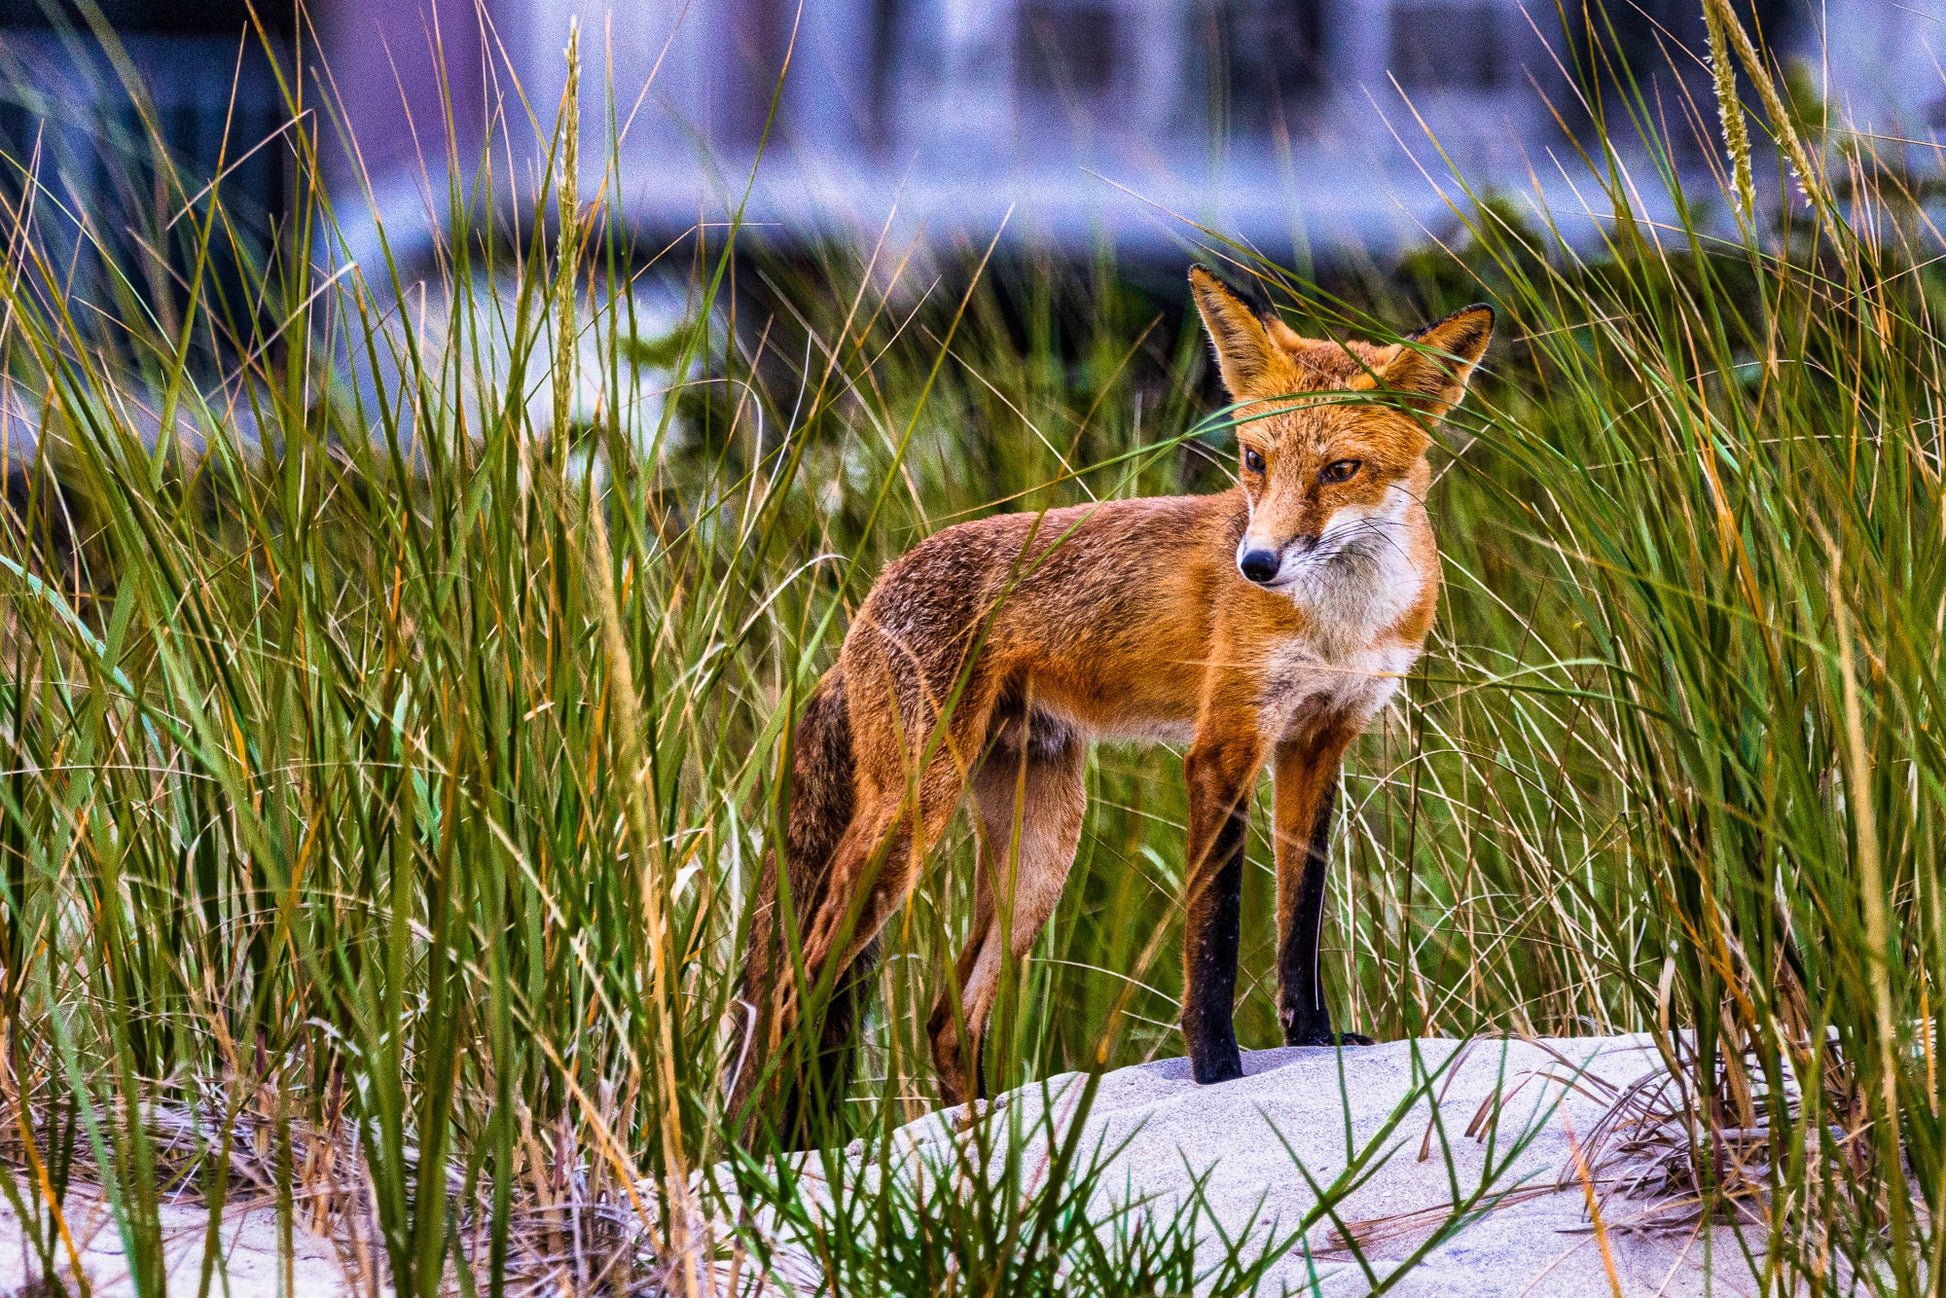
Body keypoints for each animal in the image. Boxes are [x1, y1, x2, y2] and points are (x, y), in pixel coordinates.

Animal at [734, 265, 1492, 1135]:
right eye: (1254, 459)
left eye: (1340, 469)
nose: (1257, 564)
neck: (1339, 620)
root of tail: (865, 604)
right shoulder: (1224, 746)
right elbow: (1216, 936)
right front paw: (1216, 1072)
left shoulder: (1318, 742)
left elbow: (1300, 921)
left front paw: (1317, 1040)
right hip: (911, 817)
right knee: (792, 992)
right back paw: (770, 1144)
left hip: (1043, 845)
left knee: (947, 1019)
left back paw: (982, 1146)